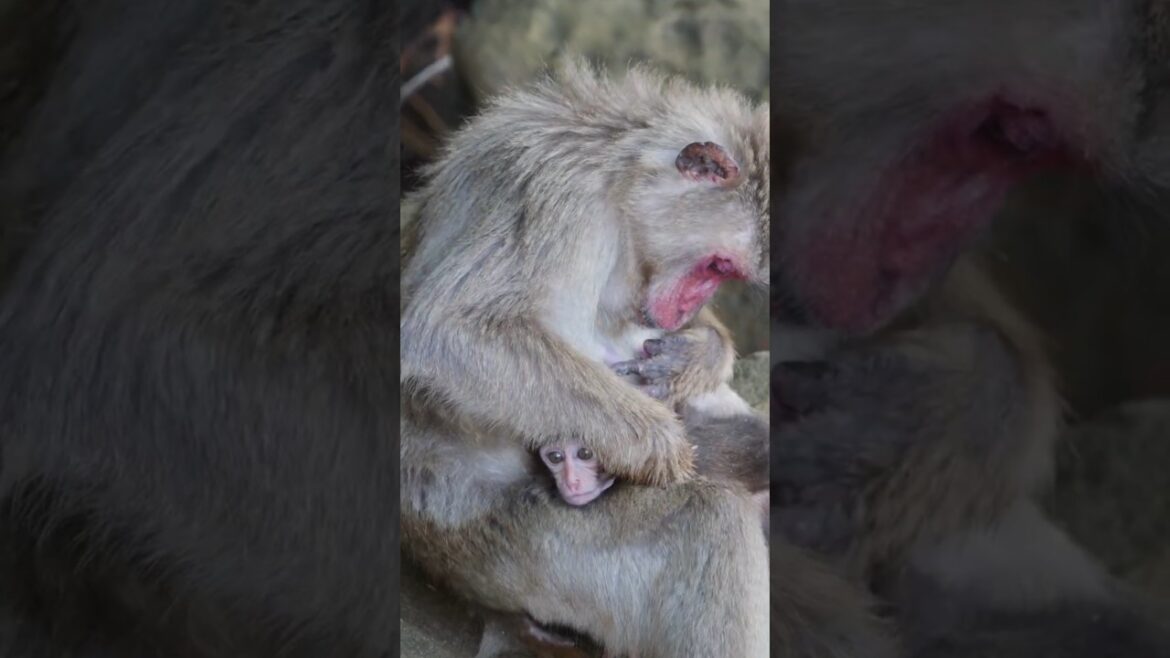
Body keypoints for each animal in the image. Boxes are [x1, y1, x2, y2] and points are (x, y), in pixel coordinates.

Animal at [400, 58, 773, 658]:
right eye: (717, 266)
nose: (690, 306)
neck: (616, 176)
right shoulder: (552, 195)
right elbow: (448, 334)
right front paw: (662, 445)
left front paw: (693, 355)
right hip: (516, 553)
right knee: (707, 521)